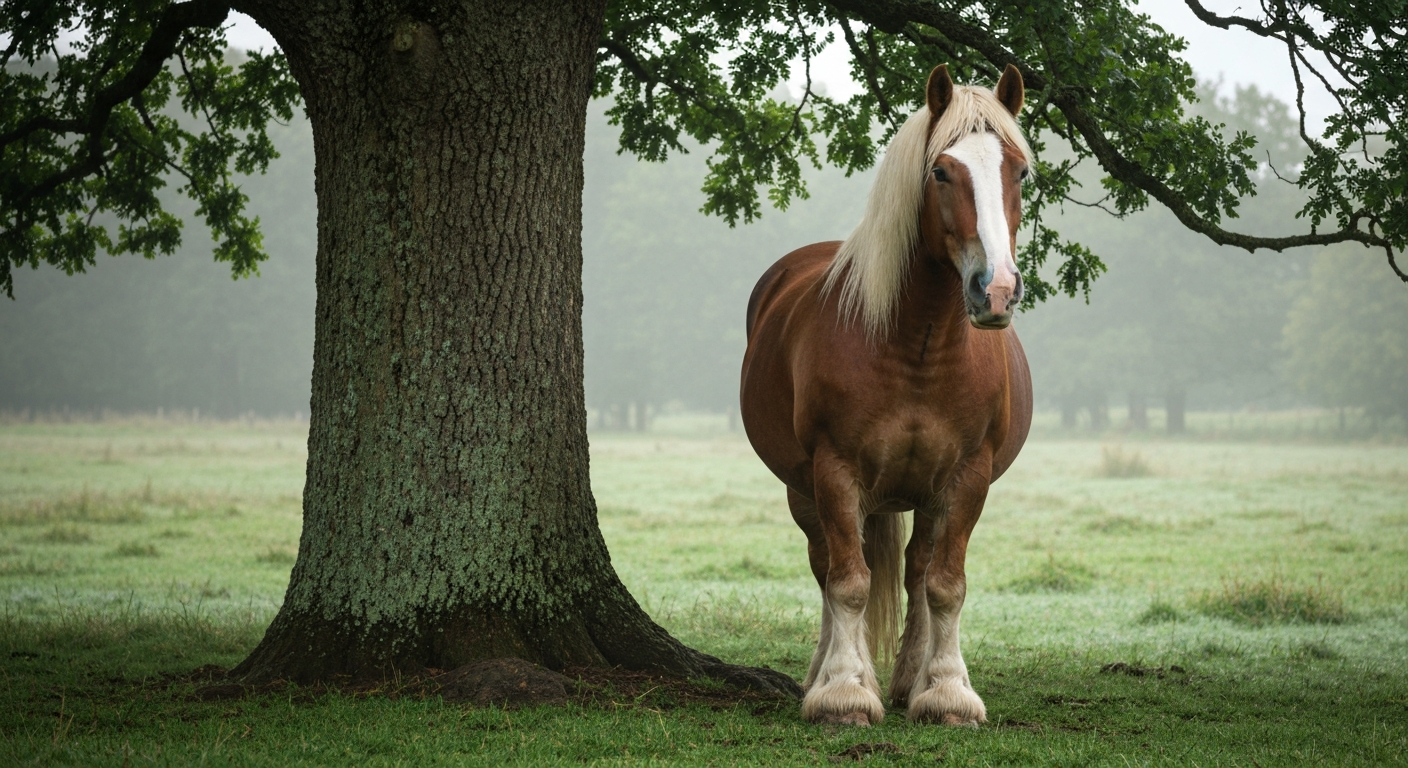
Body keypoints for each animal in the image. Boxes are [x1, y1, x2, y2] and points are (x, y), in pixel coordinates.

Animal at [740, 63, 1034, 726]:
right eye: (941, 172)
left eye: (1020, 171)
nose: (996, 290)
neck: (917, 347)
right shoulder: (834, 471)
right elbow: (848, 582)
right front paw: (844, 692)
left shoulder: (967, 476)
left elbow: (946, 585)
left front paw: (947, 693)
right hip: (804, 489)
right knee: (828, 568)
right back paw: (826, 675)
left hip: (925, 494)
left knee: (917, 572)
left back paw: (908, 680)